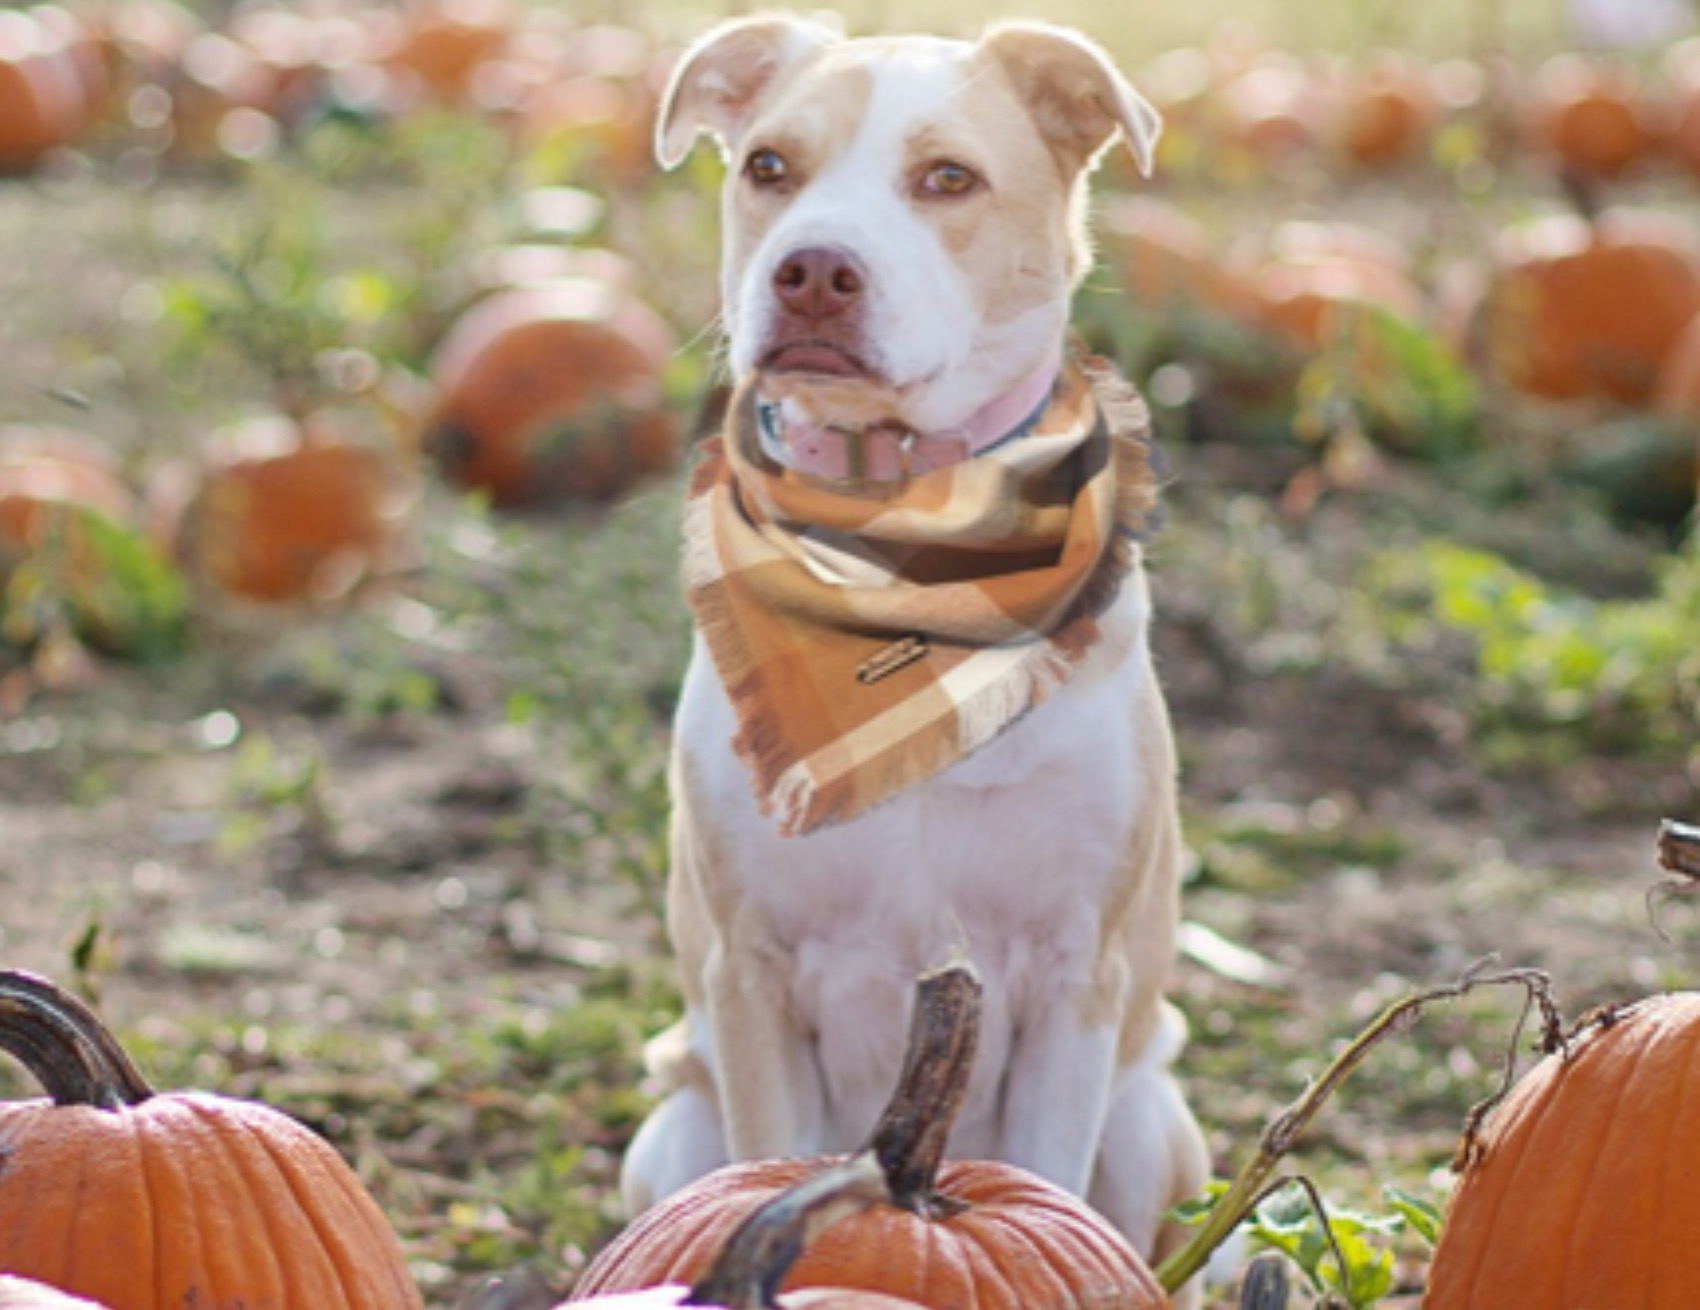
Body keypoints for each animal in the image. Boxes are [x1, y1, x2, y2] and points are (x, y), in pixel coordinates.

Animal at [622, 15, 1210, 1298]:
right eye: (768, 166)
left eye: (947, 179)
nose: (811, 270)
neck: (898, 544)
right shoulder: (752, 971)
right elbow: (768, 1161)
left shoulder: (1072, 979)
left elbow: (1047, 1181)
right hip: (668, 1130)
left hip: (1151, 1118)